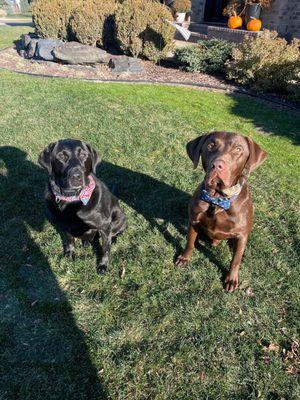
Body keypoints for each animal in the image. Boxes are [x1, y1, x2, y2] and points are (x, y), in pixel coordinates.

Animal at [38, 139, 126, 274]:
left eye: (83, 155)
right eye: (61, 156)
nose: (76, 176)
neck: (71, 199)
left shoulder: (104, 226)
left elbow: (105, 249)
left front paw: (103, 265)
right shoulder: (64, 224)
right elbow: (69, 239)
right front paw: (70, 253)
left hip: (119, 217)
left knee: (115, 232)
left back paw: (113, 239)